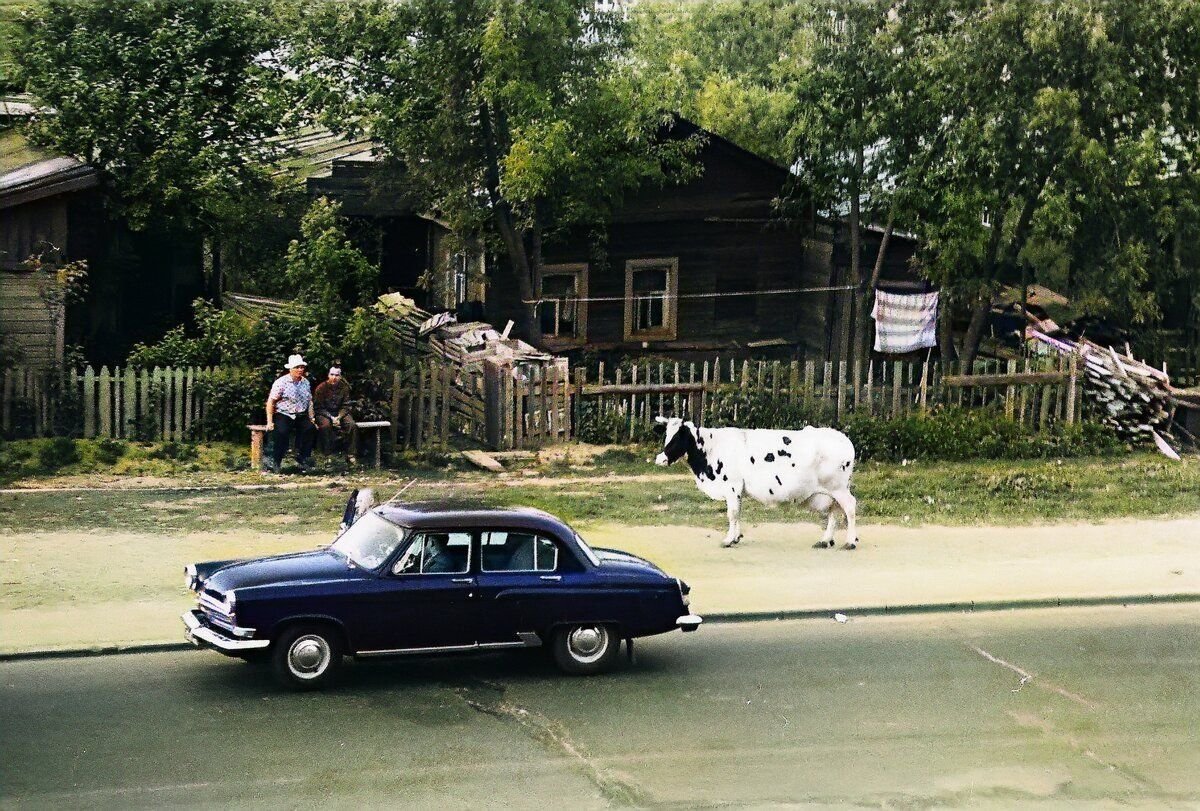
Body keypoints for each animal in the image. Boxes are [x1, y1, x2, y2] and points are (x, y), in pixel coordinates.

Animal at [652, 417, 859, 551]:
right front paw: (736, 537)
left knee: (849, 507)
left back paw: (850, 542)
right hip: (832, 491)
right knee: (834, 511)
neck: (711, 449)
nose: (660, 458)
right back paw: (825, 540)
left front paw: (728, 539)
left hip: (838, 488)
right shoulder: (737, 490)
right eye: (666, 435)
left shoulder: (732, 485)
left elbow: (732, 513)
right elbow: (737, 513)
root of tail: (844, 439)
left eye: (678, 437)